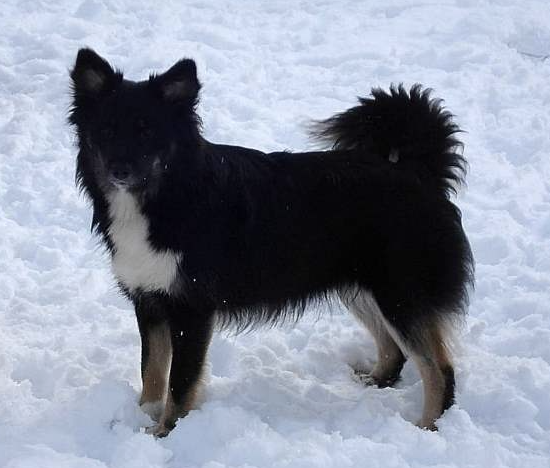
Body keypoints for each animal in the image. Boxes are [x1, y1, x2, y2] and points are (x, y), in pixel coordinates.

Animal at [69, 49, 474, 436]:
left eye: (147, 131)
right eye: (106, 130)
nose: (119, 170)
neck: (168, 194)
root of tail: (417, 171)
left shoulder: (192, 307)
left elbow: (180, 383)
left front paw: (165, 432)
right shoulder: (149, 301)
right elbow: (151, 371)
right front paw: (140, 417)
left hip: (399, 292)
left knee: (439, 369)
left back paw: (428, 428)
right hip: (361, 286)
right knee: (395, 350)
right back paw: (375, 381)